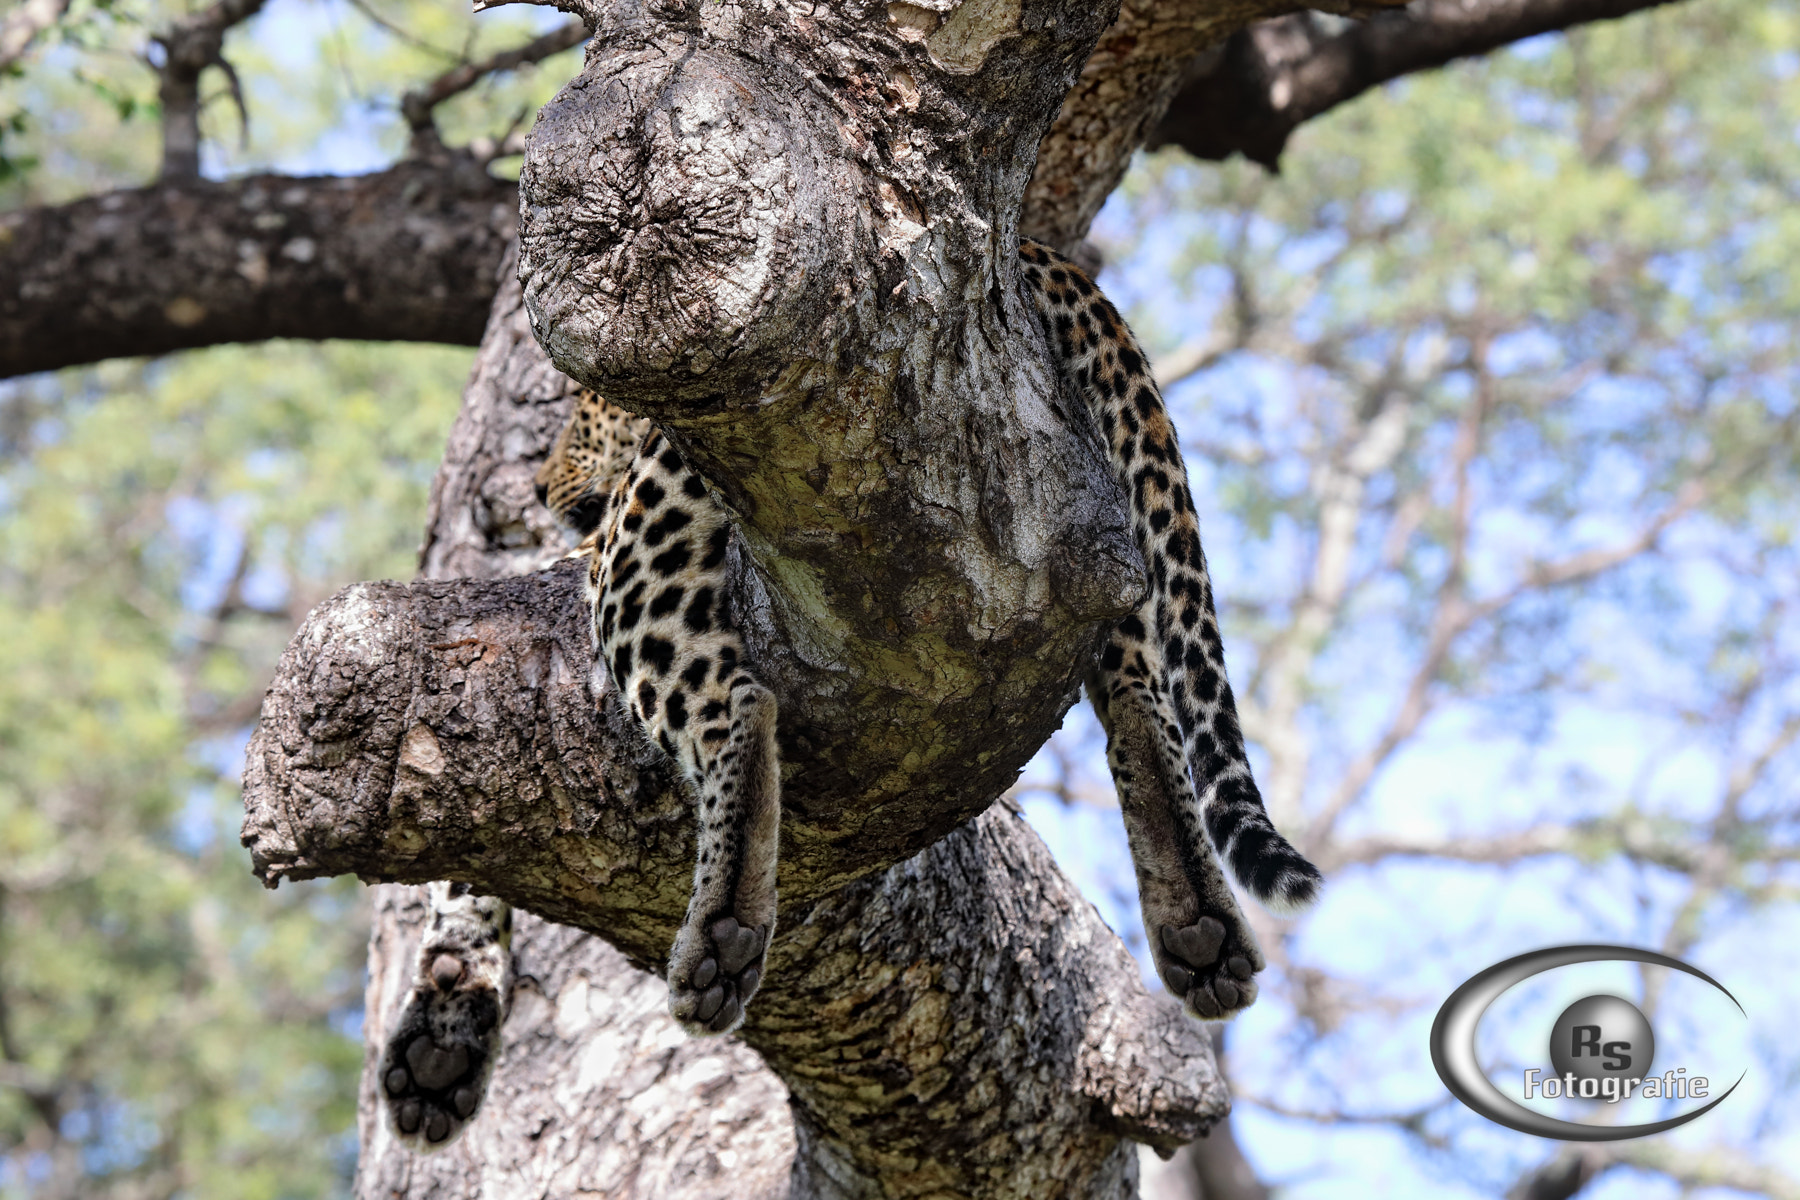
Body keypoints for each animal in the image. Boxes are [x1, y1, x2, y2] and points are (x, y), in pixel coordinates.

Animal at [372, 237, 1317, 1151]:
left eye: (585, 407)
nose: (537, 488)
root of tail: (1036, 248)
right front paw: (442, 1034)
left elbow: (464, 868)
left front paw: (442, 1018)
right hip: (1093, 542)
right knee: (1137, 693)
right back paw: (1199, 924)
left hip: (648, 539)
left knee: (736, 702)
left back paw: (722, 931)